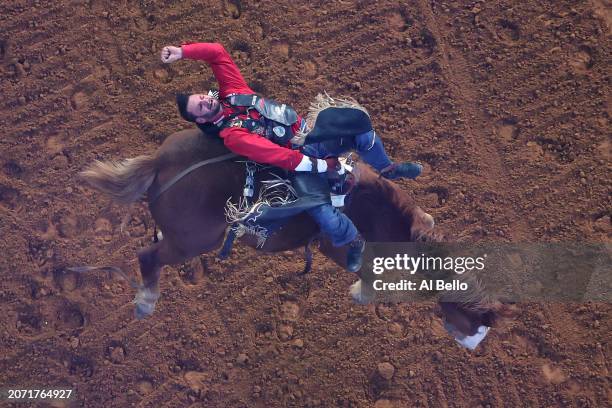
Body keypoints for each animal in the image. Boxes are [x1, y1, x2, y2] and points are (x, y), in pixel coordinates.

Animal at [80, 127, 502, 342]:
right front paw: (360, 294)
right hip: (191, 242)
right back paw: (145, 303)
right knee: (148, 258)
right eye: (476, 324)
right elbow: (365, 277)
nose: (472, 346)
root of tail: (161, 163)